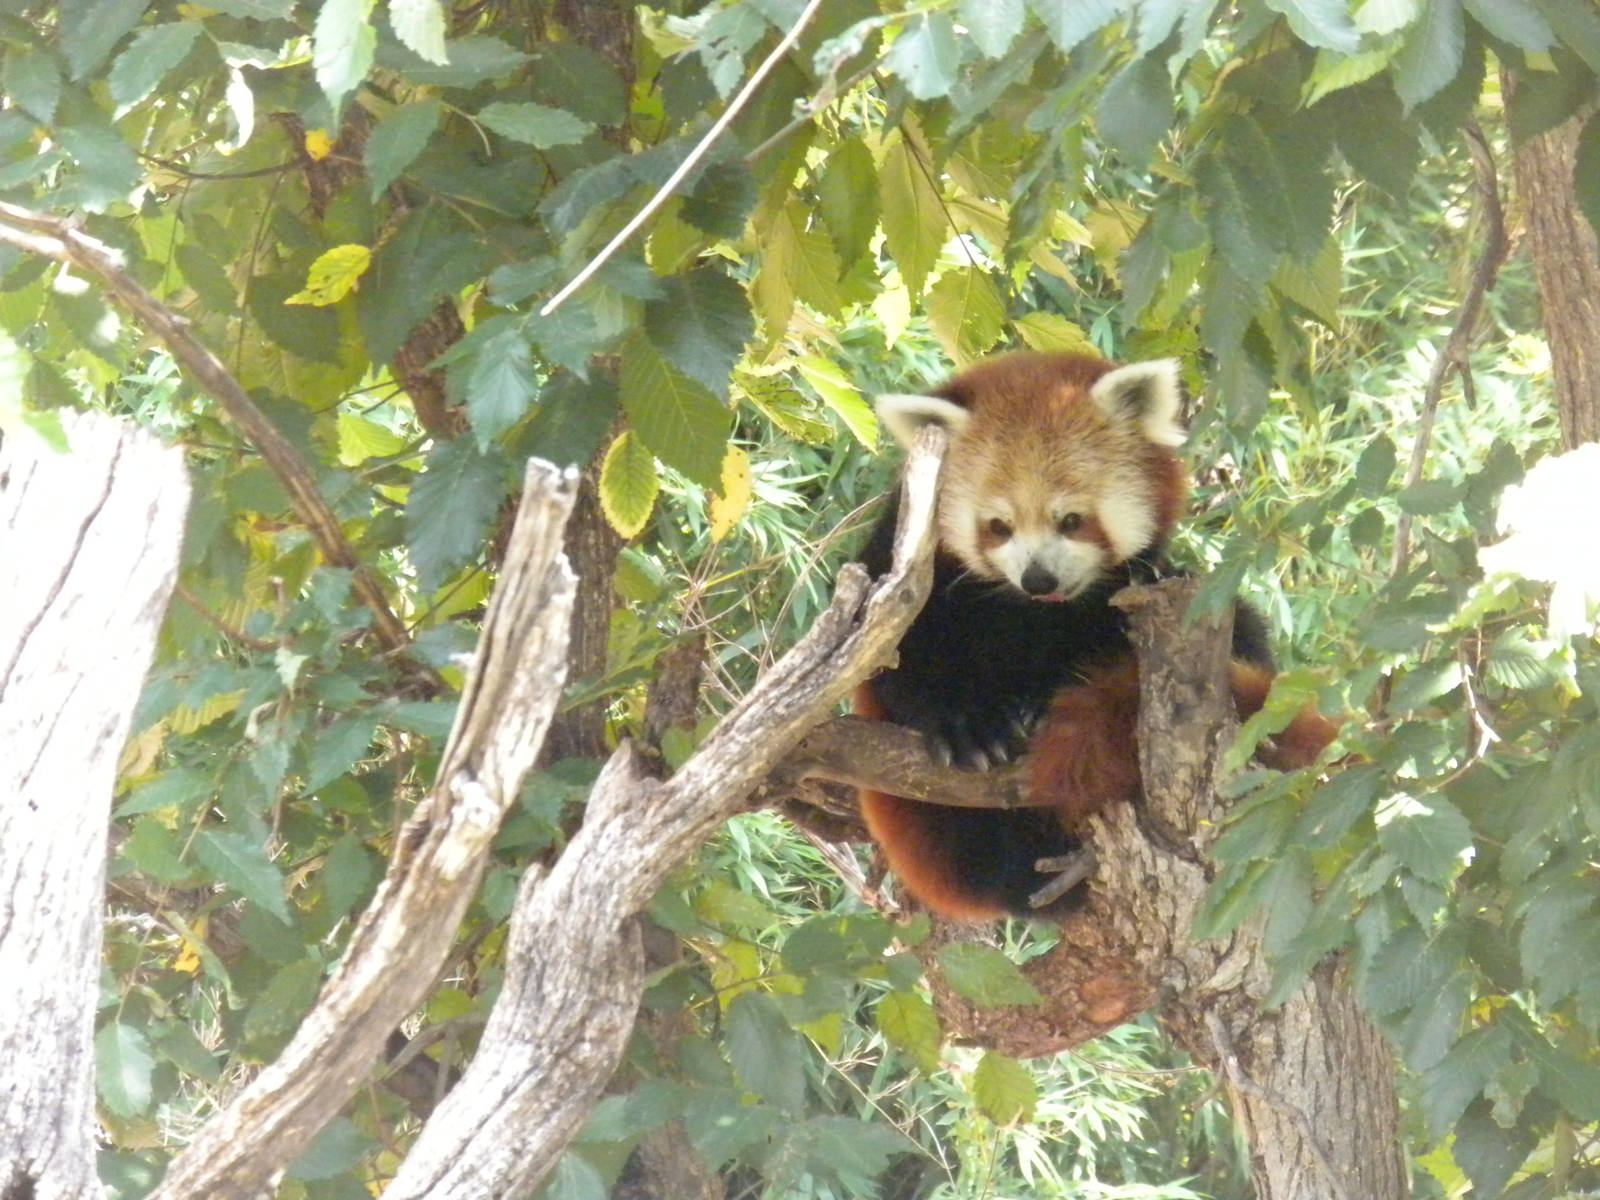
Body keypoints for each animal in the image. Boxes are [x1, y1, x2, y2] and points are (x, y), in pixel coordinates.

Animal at [853, 351, 1335, 921]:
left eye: (1072, 520)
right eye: (998, 526)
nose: (1038, 578)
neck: (1036, 612)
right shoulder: (906, 568)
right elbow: (901, 662)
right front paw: (968, 726)